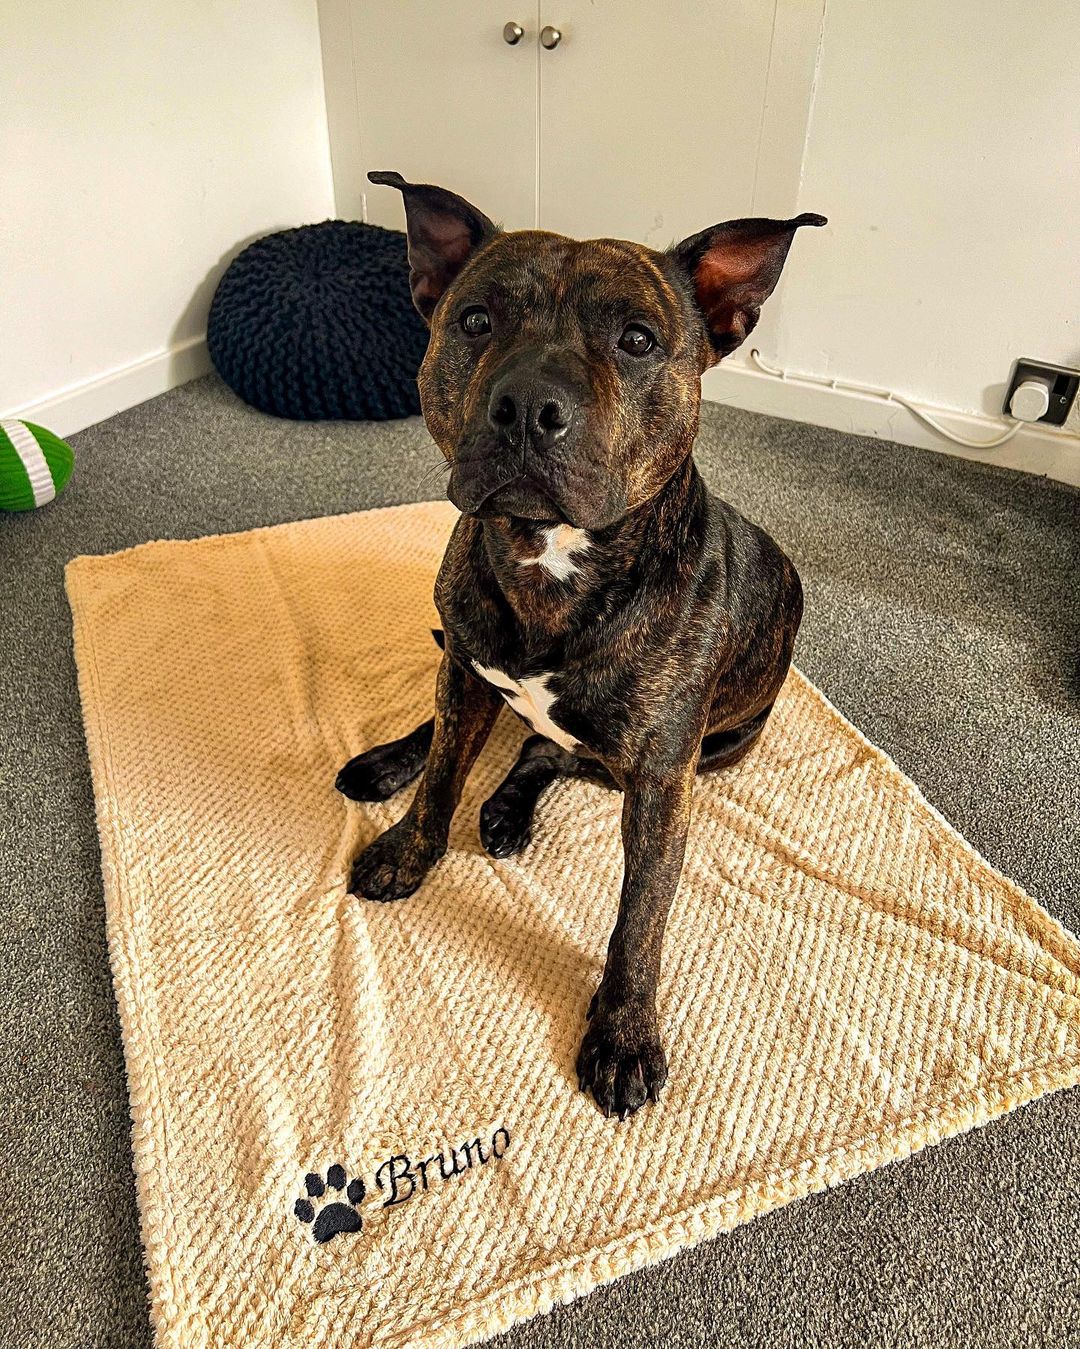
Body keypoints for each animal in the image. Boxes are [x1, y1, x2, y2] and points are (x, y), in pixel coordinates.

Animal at [341, 168, 819, 1116]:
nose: (530, 407)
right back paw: (392, 762)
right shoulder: (467, 669)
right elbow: (443, 770)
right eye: (476, 319)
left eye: (637, 340)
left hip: (718, 749)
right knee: (468, 722)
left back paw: (509, 806)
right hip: (465, 665)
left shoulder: (665, 782)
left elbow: (641, 917)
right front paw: (410, 846)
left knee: (554, 751)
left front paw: (624, 1033)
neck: (550, 558)